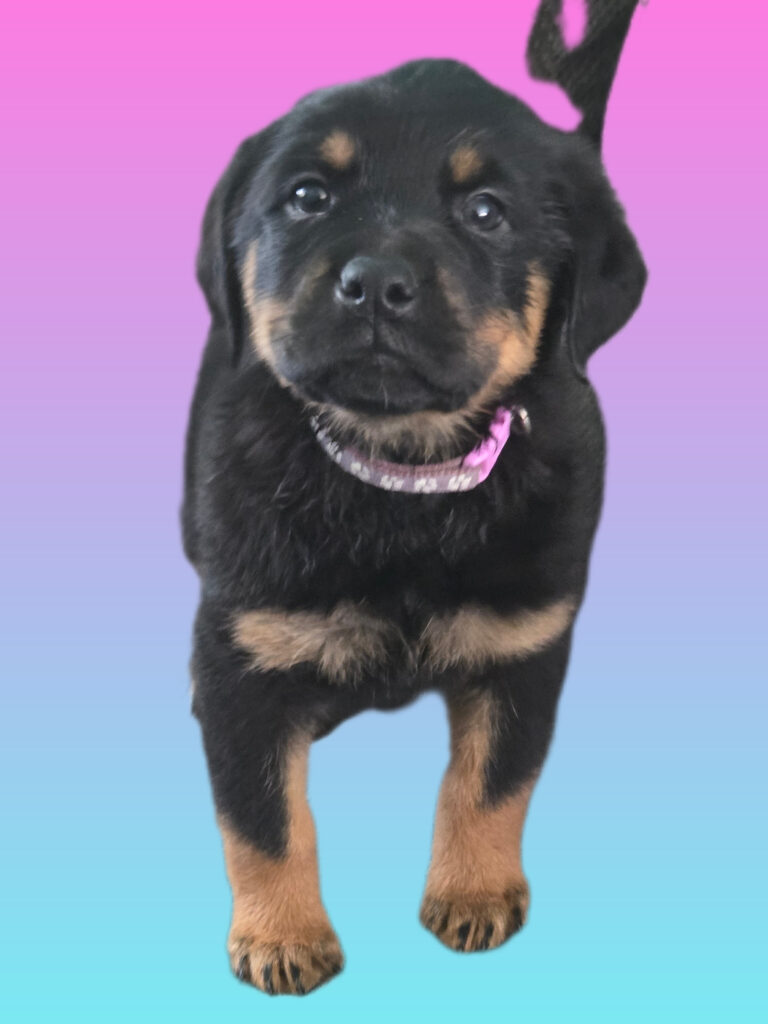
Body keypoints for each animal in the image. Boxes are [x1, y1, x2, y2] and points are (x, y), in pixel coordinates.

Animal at [182, 0, 647, 995]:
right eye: (307, 197)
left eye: (486, 212)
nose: (374, 286)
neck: (400, 481)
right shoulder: (244, 648)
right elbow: (260, 816)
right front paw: (282, 936)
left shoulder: (527, 640)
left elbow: (492, 780)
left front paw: (474, 893)